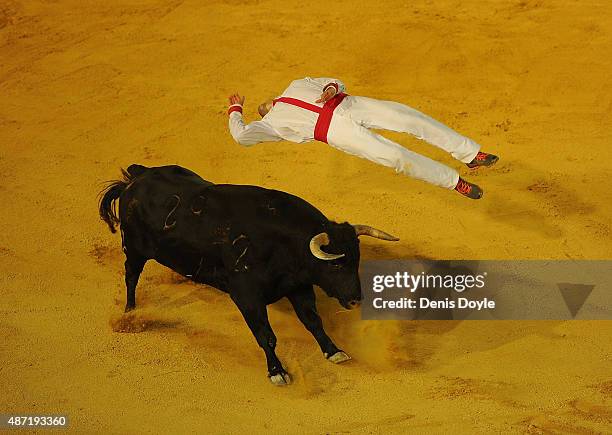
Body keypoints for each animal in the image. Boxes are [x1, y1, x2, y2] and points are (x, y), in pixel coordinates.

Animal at [98, 165, 400, 386]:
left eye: (356, 260)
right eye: (335, 265)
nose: (355, 299)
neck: (280, 243)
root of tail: (134, 179)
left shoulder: (298, 286)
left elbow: (313, 321)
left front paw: (334, 351)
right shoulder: (247, 296)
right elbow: (266, 335)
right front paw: (277, 372)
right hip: (134, 249)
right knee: (131, 276)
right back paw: (130, 312)